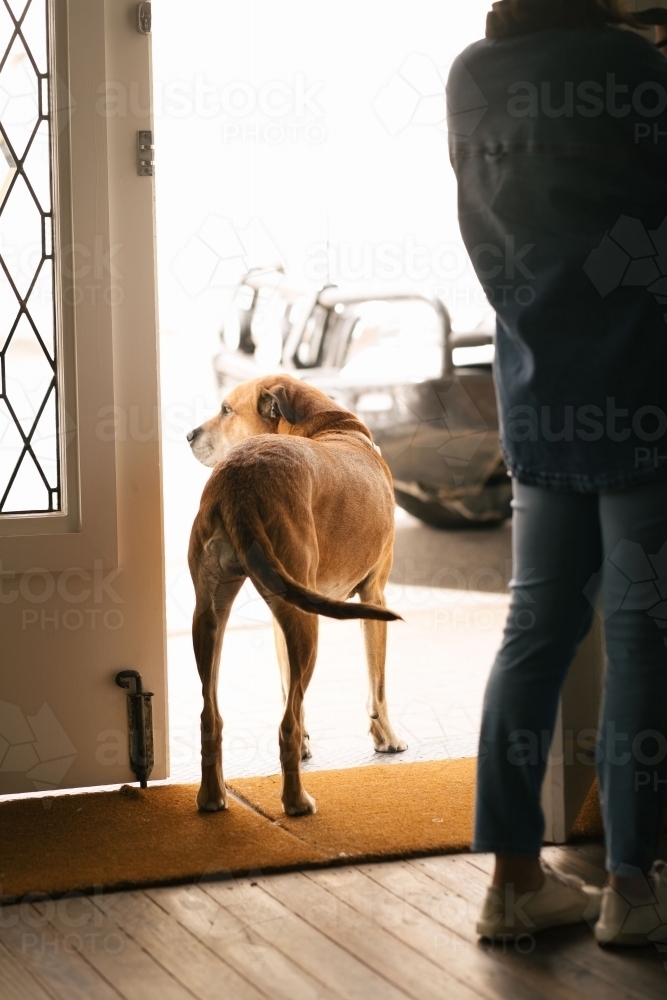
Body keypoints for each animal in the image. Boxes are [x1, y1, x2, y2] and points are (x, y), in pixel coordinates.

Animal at [188, 372, 408, 816]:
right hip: (308, 623)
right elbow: (376, 685)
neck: (327, 426)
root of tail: (241, 482)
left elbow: (292, 687)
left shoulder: (283, 613)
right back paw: (296, 802)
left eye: (225, 410)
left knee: (210, 716)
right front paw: (387, 737)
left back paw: (212, 797)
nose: (188, 436)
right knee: (284, 726)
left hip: (210, 617)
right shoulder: (374, 596)